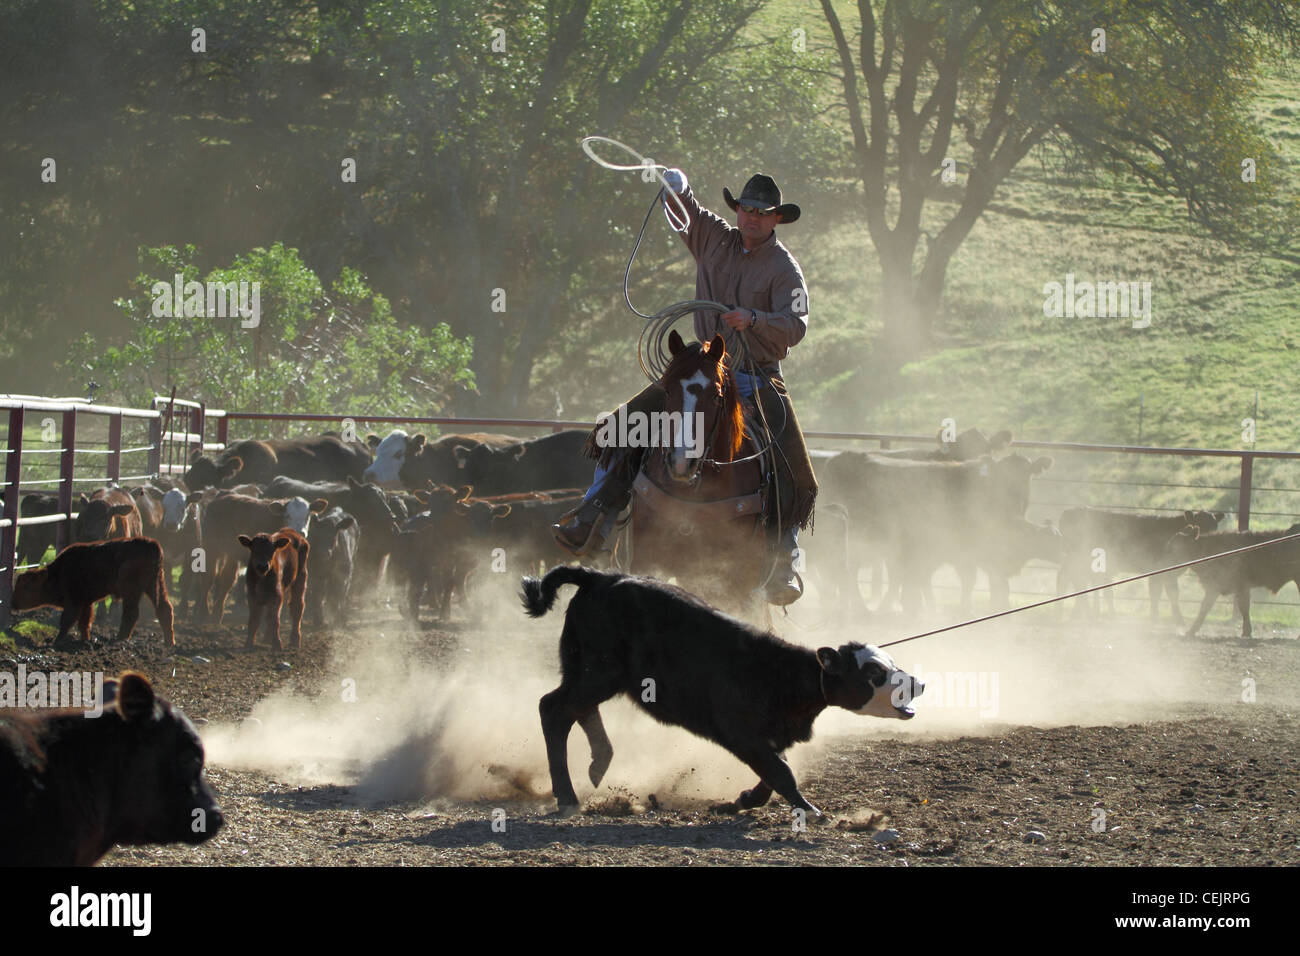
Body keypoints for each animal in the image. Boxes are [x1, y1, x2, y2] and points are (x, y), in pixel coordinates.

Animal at [10, 538, 175, 650]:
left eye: (26, 586)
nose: (13, 603)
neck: (58, 573)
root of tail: (150, 543)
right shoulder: (86, 603)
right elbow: (84, 622)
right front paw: (86, 640)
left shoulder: (75, 602)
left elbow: (67, 621)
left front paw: (57, 641)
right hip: (155, 585)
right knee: (164, 608)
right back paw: (169, 643)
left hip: (133, 591)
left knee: (132, 613)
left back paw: (119, 639)